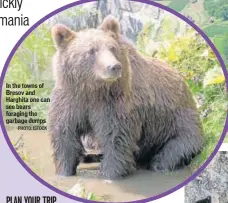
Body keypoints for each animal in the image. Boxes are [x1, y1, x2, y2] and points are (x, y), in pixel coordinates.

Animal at [47, 14, 203, 179]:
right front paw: (64, 172)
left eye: (112, 48)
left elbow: (116, 138)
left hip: (178, 121)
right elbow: (64, 135)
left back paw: (158, 164)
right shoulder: (71, 98)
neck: (93, 89)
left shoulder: (115, 102)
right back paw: (90, 157)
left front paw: (110, 175)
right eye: (91, 50)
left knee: (174, 150)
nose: (114, 66)